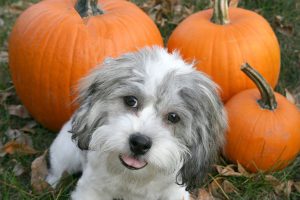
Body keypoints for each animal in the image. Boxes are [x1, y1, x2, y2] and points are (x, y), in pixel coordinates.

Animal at [45, 46, 226, 200]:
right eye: (131, 100)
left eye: (173, 117)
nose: (140, 143)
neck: (133, 177)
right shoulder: (91, 188)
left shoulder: (174, 192)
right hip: (65, 152)